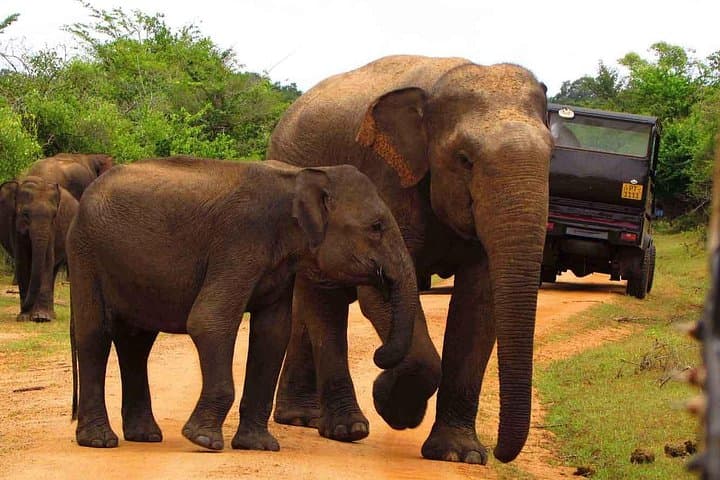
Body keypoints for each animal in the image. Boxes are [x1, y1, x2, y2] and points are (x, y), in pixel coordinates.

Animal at [0, 177, 78, 322]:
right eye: (25, 214)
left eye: (54, 215)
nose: (25, 305)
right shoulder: (15, 224)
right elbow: (22, 261)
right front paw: (24, 317)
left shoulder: (52, 228)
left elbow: (47, 260)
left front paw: (41, 318)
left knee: (53, 269)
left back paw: (50, 315)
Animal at [68, 156, 418, 452]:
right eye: (376, 227)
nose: (378, 355)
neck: (299, 177)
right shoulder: (238, 242)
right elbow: (209, 321)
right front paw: (204, 441)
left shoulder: (280, 264)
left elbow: (273, 333)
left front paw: (258, 446)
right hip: (85, 253)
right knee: (95, 335)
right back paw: (99, 441)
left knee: (136, 343)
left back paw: (145, 437)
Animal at [267, 55, 553, 464]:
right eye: (464, 160)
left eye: (552, 157)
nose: (499, 453)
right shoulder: (386, 178)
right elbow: (384, 287)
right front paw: (394, 405)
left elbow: (479, 303)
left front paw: (459, 454)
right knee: (322, 298)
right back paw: (346, 429)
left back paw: (304, 419)